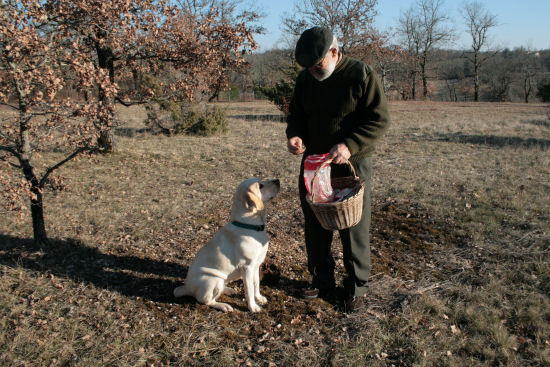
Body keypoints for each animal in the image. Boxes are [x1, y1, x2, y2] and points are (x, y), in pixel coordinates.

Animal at [175, 178, 282, 314]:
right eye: (260, 186)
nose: (277, 180)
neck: (250, 225)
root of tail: (187, 287)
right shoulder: (247, 267)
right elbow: (249, 290)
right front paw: (253, 307)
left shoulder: (256, 265)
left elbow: (256, 284)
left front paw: (259, 298)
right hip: (213, 280)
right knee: (207, 300)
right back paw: (224, 306)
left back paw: (228, 290)